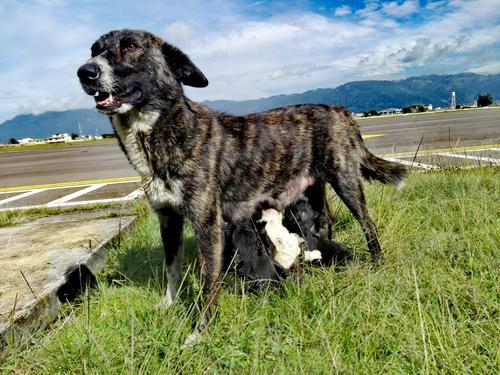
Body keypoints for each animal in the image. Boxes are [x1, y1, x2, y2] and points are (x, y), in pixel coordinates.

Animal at [77, 29, 406, 346]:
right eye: (94, 49)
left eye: (130, 46)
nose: (85, 71)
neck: (163, 131)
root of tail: (341, 110)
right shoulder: (167, 219)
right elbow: (171, 269)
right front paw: (168, 305)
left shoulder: (207, 224)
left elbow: (208, 283)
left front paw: (200, 332)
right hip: (313, 193)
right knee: (325, 226)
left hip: (346, 182)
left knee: (368, 225)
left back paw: (377, 264)